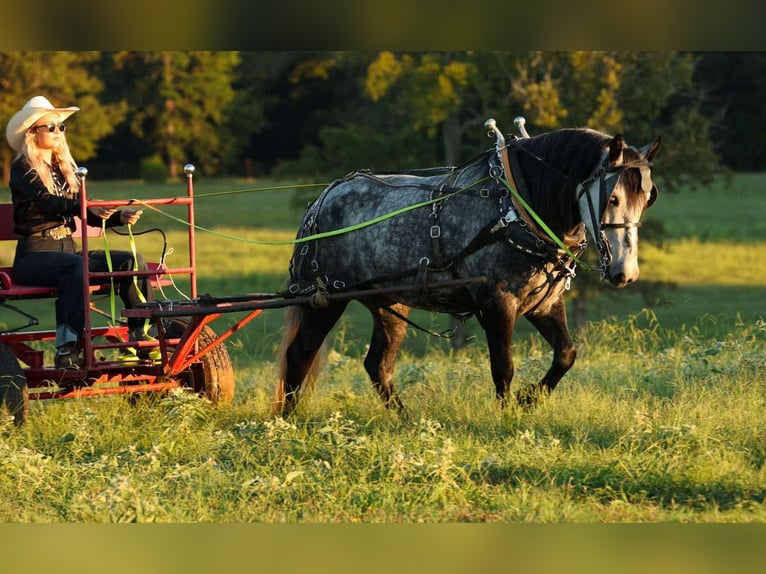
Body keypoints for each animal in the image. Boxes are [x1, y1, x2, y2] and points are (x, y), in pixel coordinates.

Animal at [273, 120, 660, 416]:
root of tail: (322, 199)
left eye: (647, 198)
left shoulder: (544, 304)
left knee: (377, 364)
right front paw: (507, 418)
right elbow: (503, 367)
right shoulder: (496, 303)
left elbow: (566, 354)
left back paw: (406, 420)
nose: (625, 273)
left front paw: (528, 400)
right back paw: (288, 420)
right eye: (612, 198)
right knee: (300, 353)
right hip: (325, 299)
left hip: (389, 303)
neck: (517, 207)